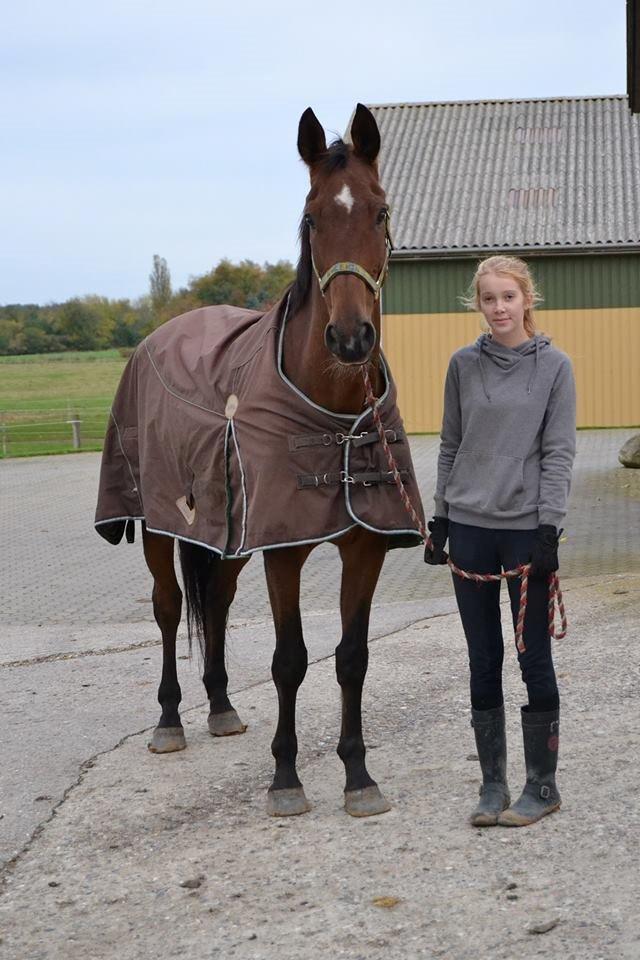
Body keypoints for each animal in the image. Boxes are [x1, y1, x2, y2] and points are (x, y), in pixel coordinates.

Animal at [95, 105, 424, 812]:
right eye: (312, 216)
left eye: (380, 211)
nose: (351, 338)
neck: (332, 412)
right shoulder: (283, 549)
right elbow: (289, 660)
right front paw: (286, 777)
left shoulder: (365, 544)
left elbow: (351, 657)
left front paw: (358, 775)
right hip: (159, 523)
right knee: (169, 607)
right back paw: (170, 721)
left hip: (228, 536)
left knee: (215, 600)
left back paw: (220, 707)